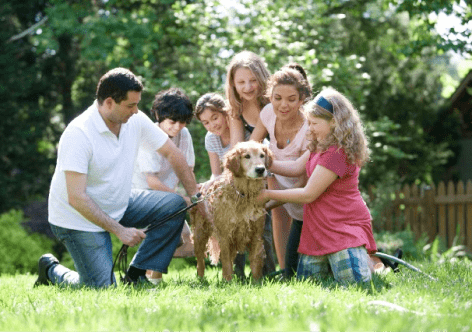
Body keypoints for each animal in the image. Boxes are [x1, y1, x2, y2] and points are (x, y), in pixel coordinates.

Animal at [191, 140, 272, 280]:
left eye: (262, 155)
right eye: (247, 156)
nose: (261, 169)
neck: (244, 194)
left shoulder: (256, 234)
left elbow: (255, 262)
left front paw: (256, 281)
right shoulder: (225, 235)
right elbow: (226, 262)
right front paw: (227, 281)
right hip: (200, 234)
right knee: (200, 261)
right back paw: (200, 279)